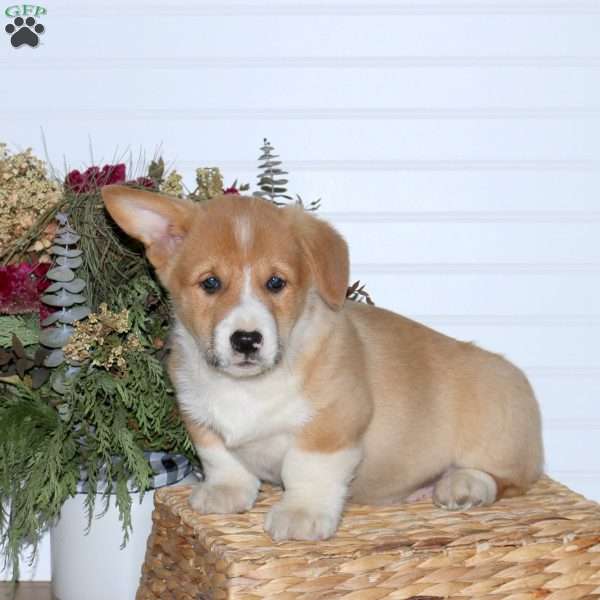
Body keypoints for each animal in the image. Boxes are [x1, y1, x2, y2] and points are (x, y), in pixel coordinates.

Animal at [102, 185, 544, 540]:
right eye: (210, 283)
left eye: (276, 283)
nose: (246, 340)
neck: (249, 386)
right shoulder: (199, 417)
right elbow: (221, 458)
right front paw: (227, 491)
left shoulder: (333, 424)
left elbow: (306, 469)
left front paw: (301, 514)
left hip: (498, 423)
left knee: (511, 479)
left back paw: (464, 485)